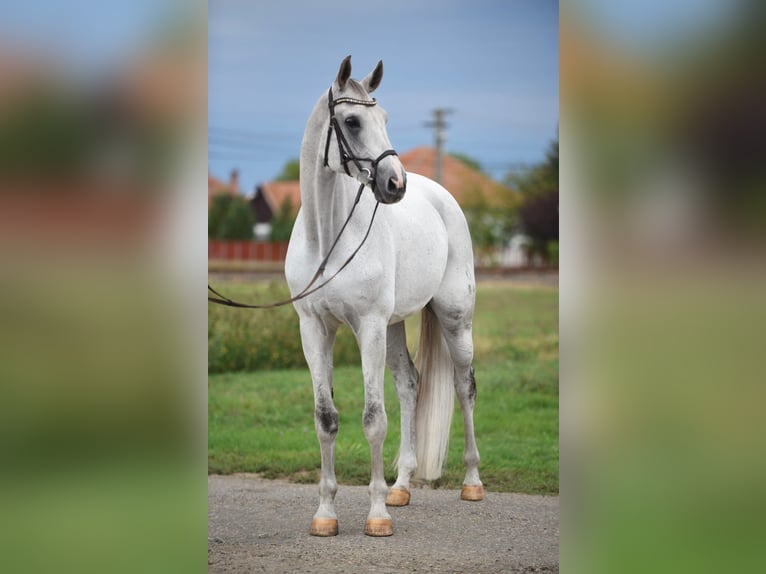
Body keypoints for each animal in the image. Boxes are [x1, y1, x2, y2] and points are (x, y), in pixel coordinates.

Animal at [284, 56, 484, 536]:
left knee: (464, 385)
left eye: (386, 119)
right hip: (394, 328)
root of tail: (440, 196)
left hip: (454, 319)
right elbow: (326, 419)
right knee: (410, 385)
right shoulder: (314, 329)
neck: (329, 240)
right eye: (352, 121)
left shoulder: (368, 327)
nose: (395, 183)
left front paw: (376, 516)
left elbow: (374, 419)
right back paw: (401, 487)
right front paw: (326, 514)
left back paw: (471, 482)